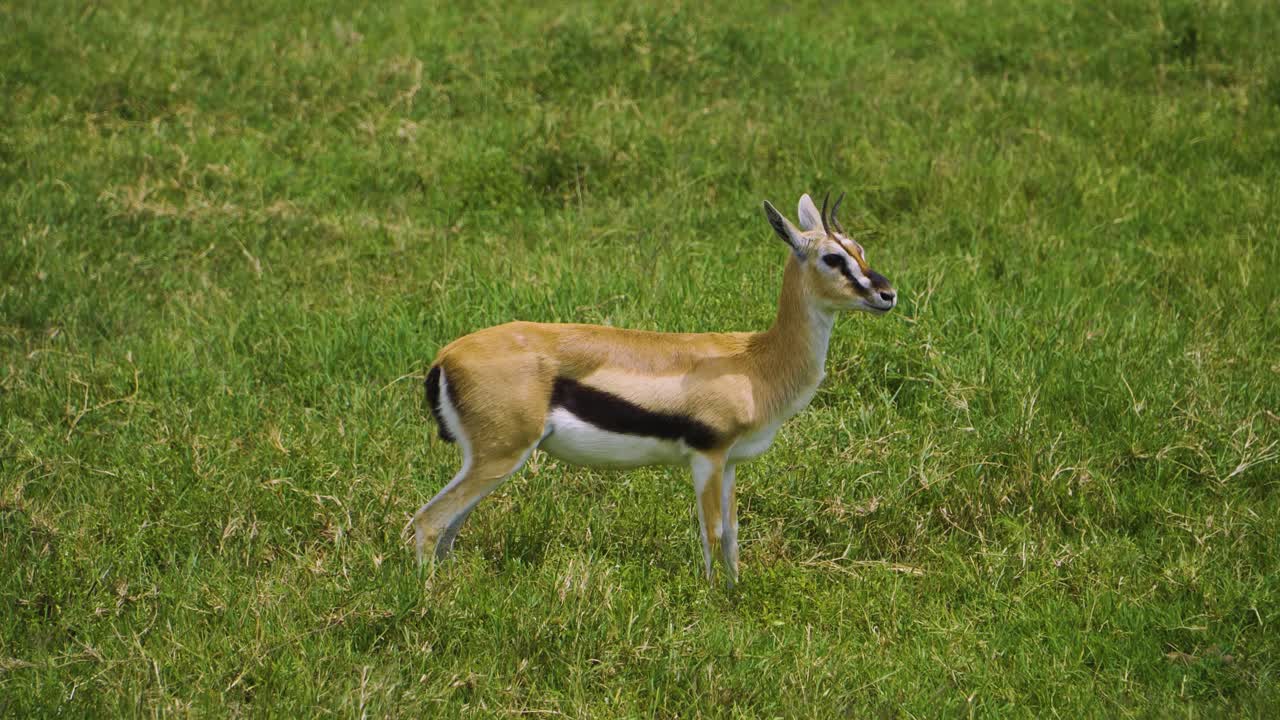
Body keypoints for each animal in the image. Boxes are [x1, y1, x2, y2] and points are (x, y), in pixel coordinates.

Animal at [414, 192, 896, 586]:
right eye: (833, 258)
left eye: (860, 250)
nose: (887, 294)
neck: (755, 362)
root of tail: (446, 356)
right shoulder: (706, 457)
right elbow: (712, 531)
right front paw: (712, 599)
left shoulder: (730, 462)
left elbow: (733, 535)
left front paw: (736, 591)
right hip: (501, 456)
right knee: (428, 521)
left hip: (490, 461)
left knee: (450, 527)